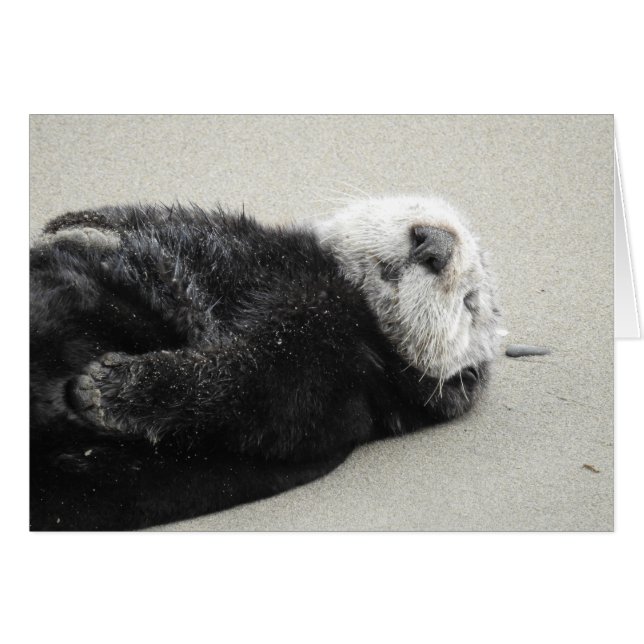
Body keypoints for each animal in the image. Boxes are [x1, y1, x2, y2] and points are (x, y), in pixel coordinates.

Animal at [30, 196, 500, 530]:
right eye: (428, 212)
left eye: (470, 302)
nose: (434, 243)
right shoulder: (231, 236)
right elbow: (141, 225)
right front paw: (81, 230)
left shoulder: (327, 373)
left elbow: (240, 387)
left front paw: (108, 388)